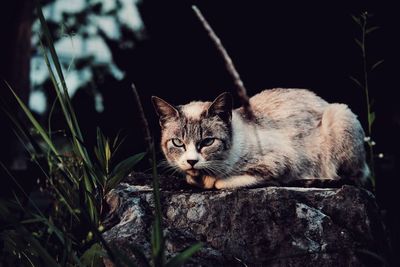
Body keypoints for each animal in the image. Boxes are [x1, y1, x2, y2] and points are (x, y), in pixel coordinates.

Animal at [151, 89, 368, 189]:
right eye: (178, 143)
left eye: (207, 142)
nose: (191, 161)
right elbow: (191, 178)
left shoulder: (281, 162)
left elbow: (221, 183)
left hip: (339, 114)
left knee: (353, 178)